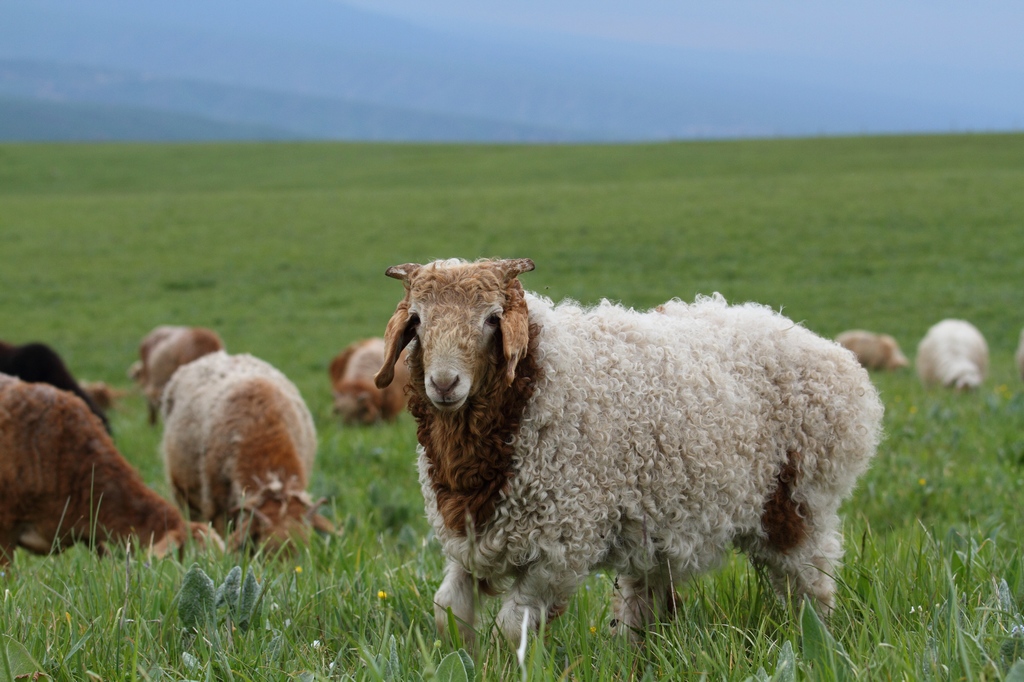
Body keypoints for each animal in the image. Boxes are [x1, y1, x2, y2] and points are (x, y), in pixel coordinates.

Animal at [372, 256, 884, 643]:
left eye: (492, 319)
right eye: (417, 321)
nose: (444, 383)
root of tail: (839, 361)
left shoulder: (561, 547)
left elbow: (509, 630)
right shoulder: (472, 536)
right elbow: (448, 614)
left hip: (801, 504)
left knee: (812, 584)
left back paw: (817, 643)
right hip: (660, 522)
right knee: (645, 599)